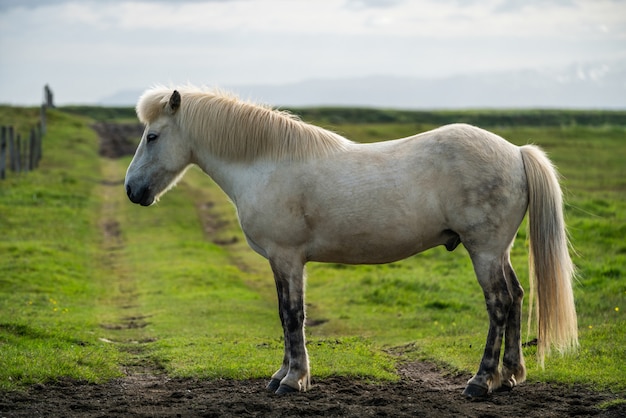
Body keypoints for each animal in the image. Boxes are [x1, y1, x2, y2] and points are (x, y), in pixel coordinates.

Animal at [124, 85, 576, 398]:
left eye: (152, 136)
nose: (132, 190)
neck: (266, 163)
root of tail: (515, 151)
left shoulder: (287, 258)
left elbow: (292, 315)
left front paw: (293, 380)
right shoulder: (280, 262)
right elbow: (285, 315)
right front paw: (282, 375)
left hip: (483, 251)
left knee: (499, 303)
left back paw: (481, 381)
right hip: (498, 252)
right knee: (516, 297)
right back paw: (509, 377)